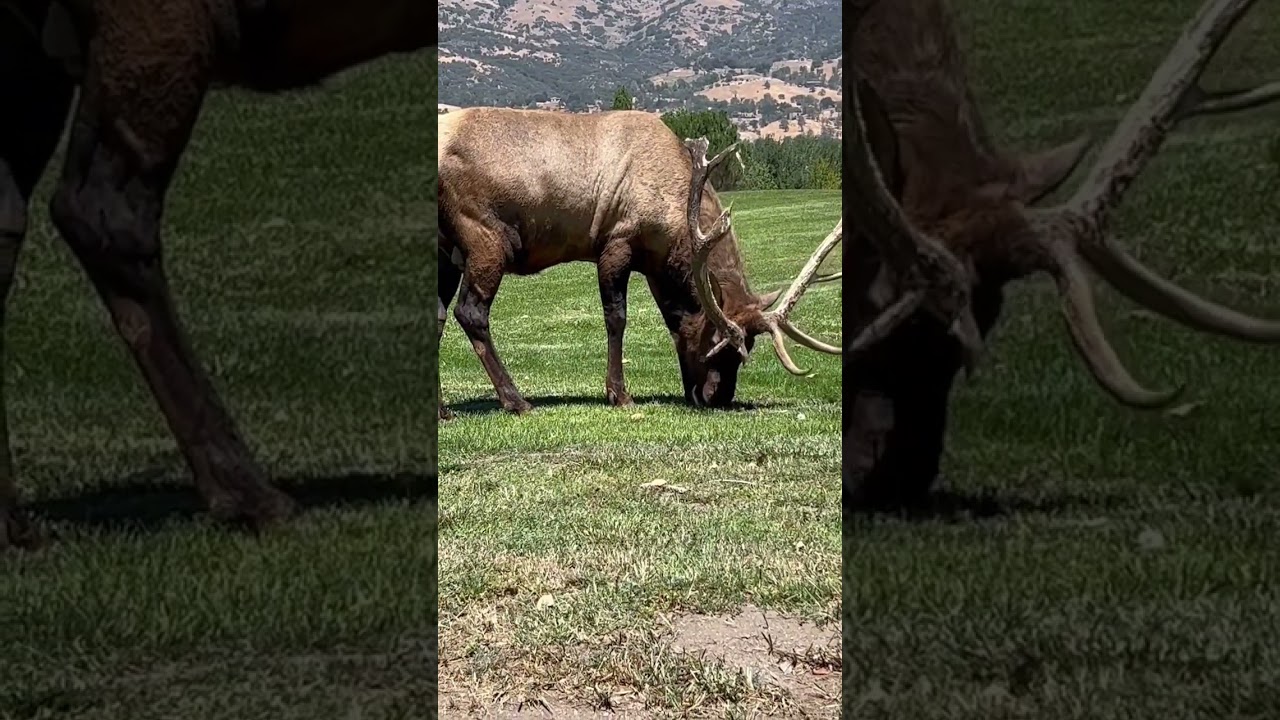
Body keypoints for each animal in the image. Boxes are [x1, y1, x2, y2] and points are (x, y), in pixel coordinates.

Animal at [436, 107, 841, 419]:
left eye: (747, 351)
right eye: (719, 344)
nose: (718, 397)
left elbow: (663, 320)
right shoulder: (617, 241)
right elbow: (617, 318)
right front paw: (619, 394)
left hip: (446, 248)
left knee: (439, 316)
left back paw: (443, 409)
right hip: (485, 236)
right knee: (470, 312)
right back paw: (516, 400)